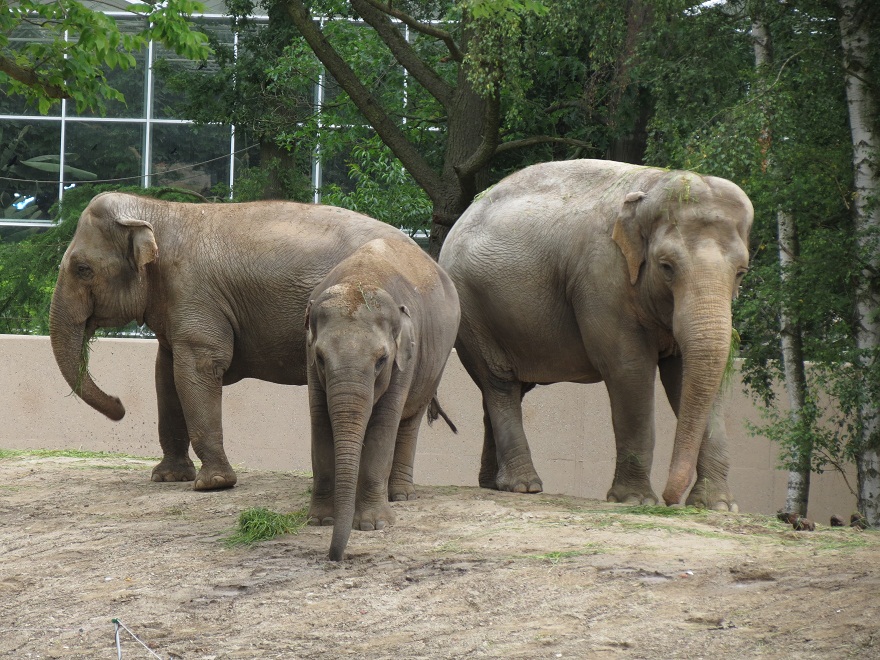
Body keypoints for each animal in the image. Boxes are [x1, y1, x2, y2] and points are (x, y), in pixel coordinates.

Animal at [50, 191, 414, 491]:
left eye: (82, 269)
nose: (120, 405)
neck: (158, 211)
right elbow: (166, 374)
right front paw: (168, 477)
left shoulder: (194, 293)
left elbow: (198, 368)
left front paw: (213, 484)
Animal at [304, 237, 460, 560]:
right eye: (321, 358)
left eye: (381, 361)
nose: (334, 556)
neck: (361, 278)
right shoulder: (308, 357)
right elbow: (320, 421)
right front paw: (320, 521)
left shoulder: (405, 357)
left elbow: (383, 427)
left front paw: (373, 525)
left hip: (434, 363)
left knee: (409, 422)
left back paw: (400, 495)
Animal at [438, 159, 753, 509]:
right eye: (666, 266)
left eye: (741, 272)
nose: (672, 500)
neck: (653, 186)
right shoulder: (601, 278)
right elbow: (629, 370)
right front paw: (636, 501)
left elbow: (686, 375)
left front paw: (719, 506)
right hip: (473, 311)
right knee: (500, 384)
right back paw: (524, 486)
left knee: (505, 391)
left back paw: (493, 484)